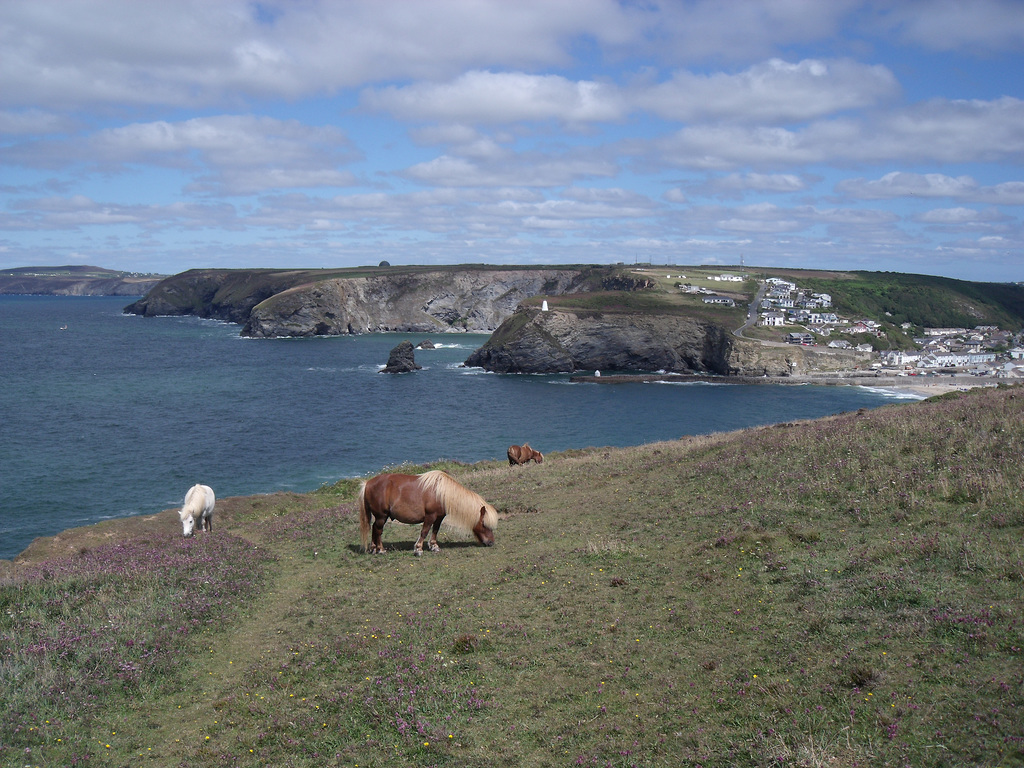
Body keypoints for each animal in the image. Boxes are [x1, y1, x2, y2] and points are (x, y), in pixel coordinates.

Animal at [360, 473, 499, 557]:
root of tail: (368, 483)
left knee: (374, 529)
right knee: (378, 530)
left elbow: (435, 531)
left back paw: (374, 549)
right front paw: (418, 549)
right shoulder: (430, 516)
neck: (441, 492)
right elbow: (424, 531)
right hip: (381, 516)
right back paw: (381, 550)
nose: (491, 542)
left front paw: (434, 546)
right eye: (484, 524)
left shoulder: (439, 518)